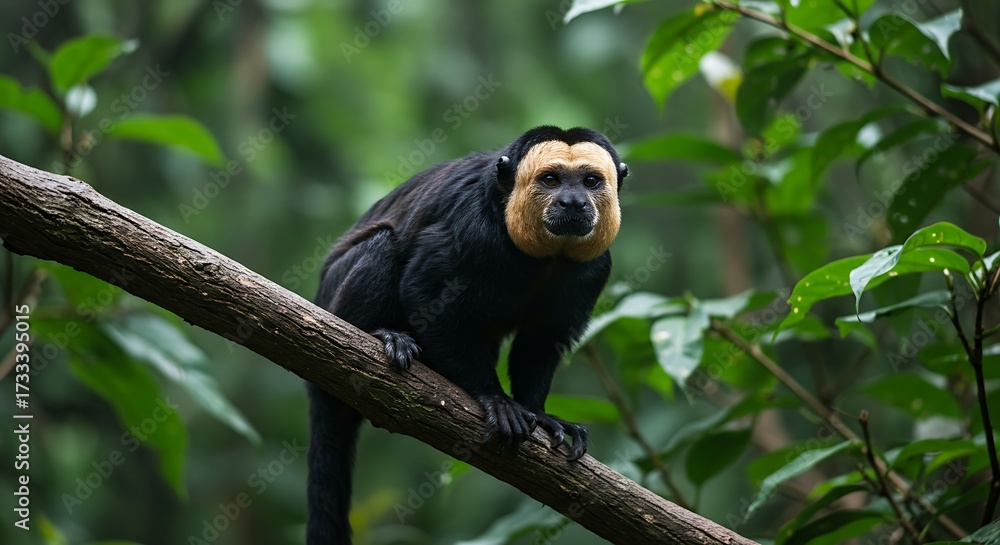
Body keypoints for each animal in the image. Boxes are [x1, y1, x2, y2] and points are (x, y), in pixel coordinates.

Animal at [307, 126, 627, 544]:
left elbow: (544, 340)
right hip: (333, 299)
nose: (573, 201)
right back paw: (378, 334)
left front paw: (541, 415)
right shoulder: (472, 228)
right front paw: (495, 399)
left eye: (590, 181)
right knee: (383, 245)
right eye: (551, 179)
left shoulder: (595, 268)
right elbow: (425, 294)